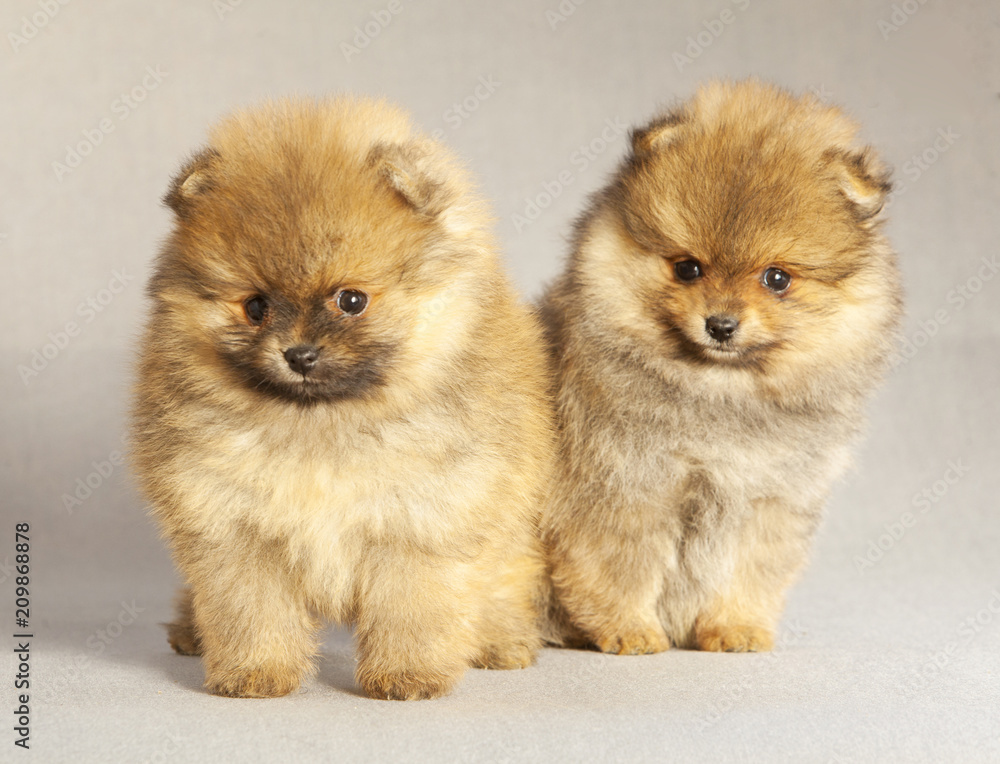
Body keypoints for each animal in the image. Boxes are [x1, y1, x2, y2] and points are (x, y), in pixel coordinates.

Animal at [129, 98, 556, 700]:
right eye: (255, 306)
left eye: (351, 300)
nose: (299, 353)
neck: (322, 425)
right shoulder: (233, 528)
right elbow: (249, 609)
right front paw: (255, 671)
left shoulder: (420, 523)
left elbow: (413, 609)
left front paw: (406, 675)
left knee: (503, 574)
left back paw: (500, 640)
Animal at [544, 83, 904, 656]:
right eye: (688, 268)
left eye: (776, 278)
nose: (720, 324)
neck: (721, 395)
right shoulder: (625, 489)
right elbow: (621, 569)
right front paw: (630, 631)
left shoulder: (767, 498)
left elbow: (747, 574)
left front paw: (736, 628)